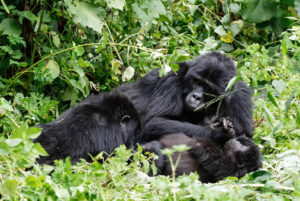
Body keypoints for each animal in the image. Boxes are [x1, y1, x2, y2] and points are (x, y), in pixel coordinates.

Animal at [117, 51, 253, 143]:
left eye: (209, 89)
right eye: (197, 81)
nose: (196, 96)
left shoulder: (242, 94)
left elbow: (246, 136)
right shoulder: (173, 75)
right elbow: (156, 121)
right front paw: (215, 133)